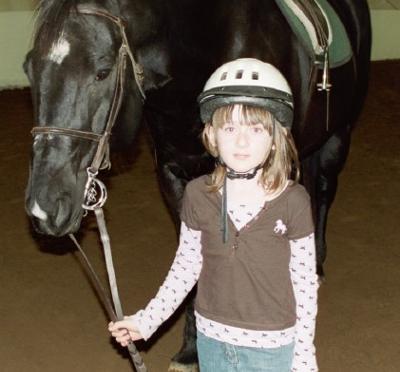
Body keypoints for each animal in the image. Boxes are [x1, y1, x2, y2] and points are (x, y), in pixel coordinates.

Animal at [25, 1, 370, 370]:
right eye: (29, 68)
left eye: (102, 71)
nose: (43, 208)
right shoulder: (174, 175)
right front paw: (191, 350)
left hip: (339, 136)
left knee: (323, 194)